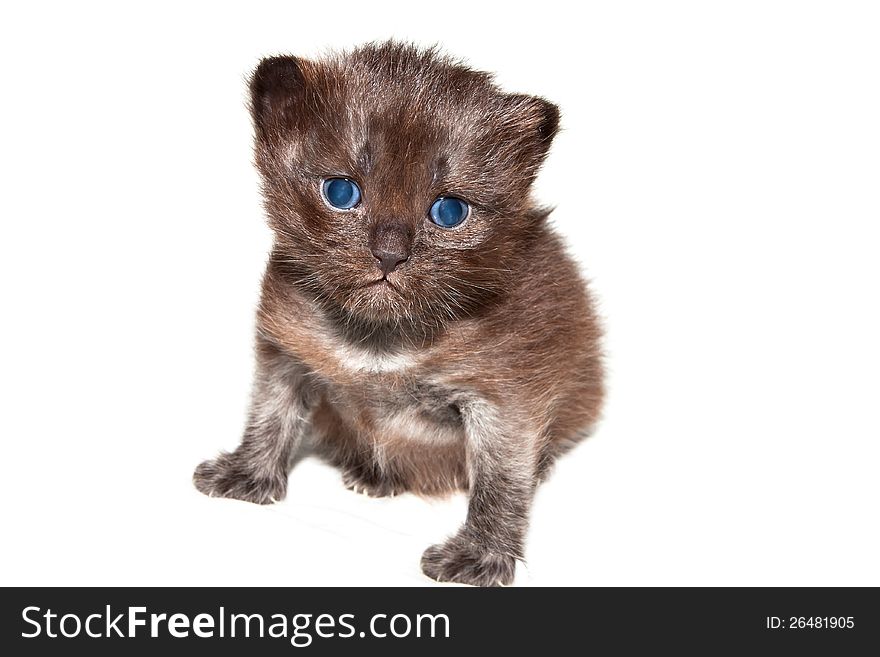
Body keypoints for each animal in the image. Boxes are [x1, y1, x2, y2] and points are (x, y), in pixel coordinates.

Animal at [193, 41, 604, 584]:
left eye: (449, 211)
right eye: (341, 192)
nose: (389, 255)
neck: (379, 338)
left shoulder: (505, 399)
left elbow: (500, 482)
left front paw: (481, 554)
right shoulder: (285, 351)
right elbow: (270, 413)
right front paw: (247, 473)